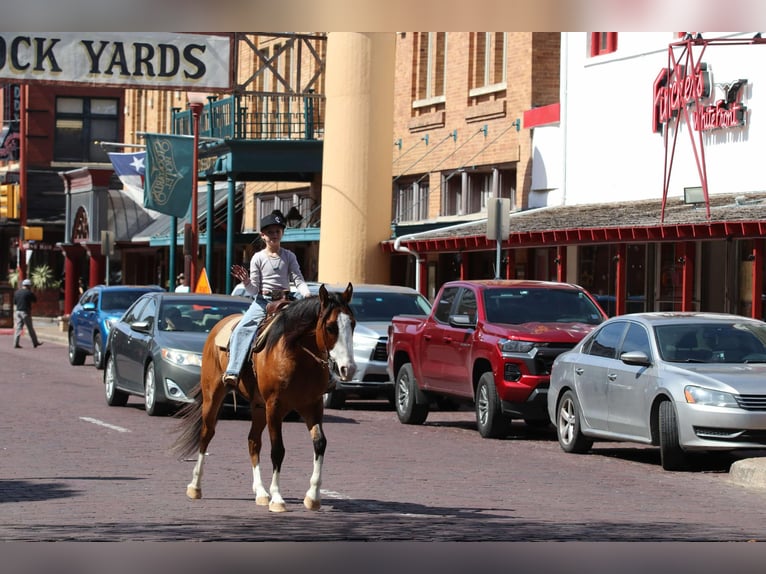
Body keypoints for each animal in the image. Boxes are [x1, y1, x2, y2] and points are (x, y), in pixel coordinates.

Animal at [171, 284, 356, 512]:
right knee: (206, 435)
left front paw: (312, 496)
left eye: (353, 324)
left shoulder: (312, 405)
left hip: (258, 407)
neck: (296, 355)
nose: (348, 369)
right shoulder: (274, 406)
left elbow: (320, 443)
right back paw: (195, 486)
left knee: (253, 441)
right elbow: (278, 450)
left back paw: (260, 492)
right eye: (330, 327)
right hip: (213, 396)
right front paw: (277, 498)